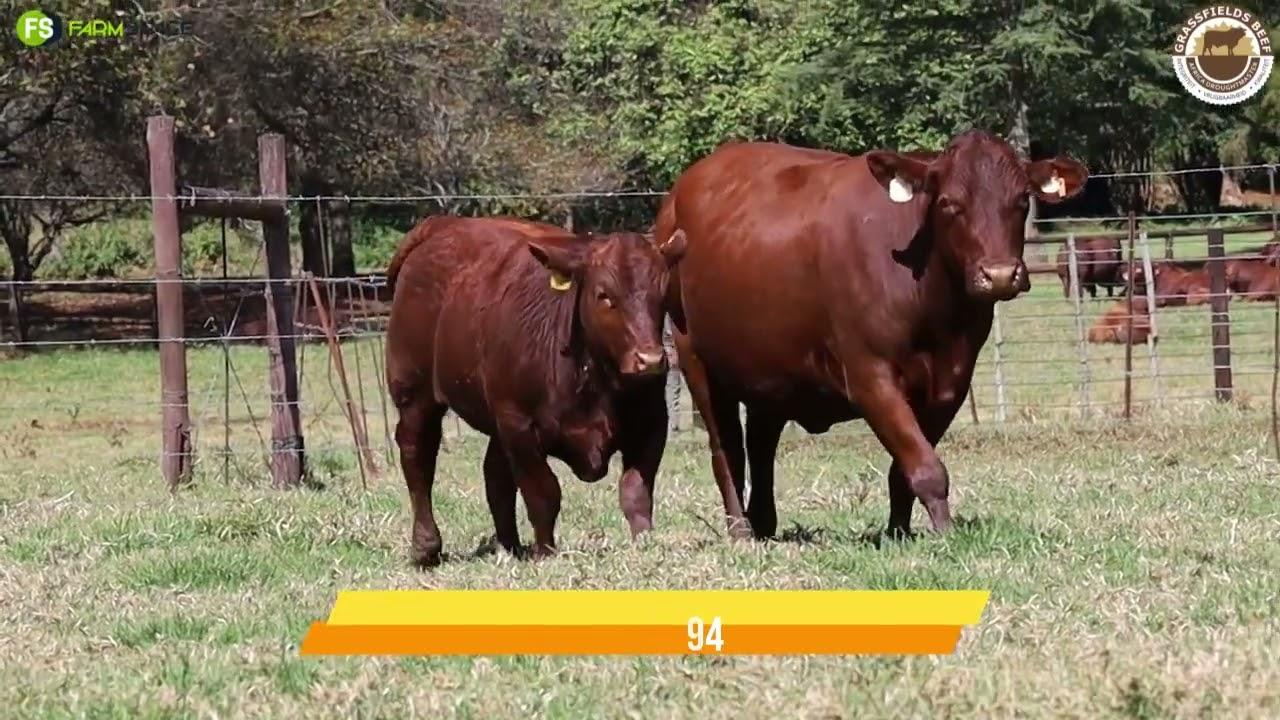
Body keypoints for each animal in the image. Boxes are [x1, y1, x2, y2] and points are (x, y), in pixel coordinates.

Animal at [384, 215, 686, 565]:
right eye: (604, 294)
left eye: (662, 294)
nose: (649, 360)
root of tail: (442, 225)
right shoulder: (520, 425)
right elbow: (543, 492)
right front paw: (545, 552)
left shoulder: (653, 423)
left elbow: (636, 490)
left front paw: (645, 544)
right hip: (415, 392)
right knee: (417, 454)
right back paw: (426, 547)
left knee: (495, 475)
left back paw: (509, 546)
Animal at [655, 131, 1087, 540]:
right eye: (949, 203)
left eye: (1021, 200)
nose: (998, 274)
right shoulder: (870, 375)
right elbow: (927, 467)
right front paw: (945, 535)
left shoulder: (951, 383)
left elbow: (905, 468)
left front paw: (899, 531)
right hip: (694, 356)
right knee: (726, 447)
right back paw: (741, 529)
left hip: (770, 368)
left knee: (762, 441)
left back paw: (763, 521)